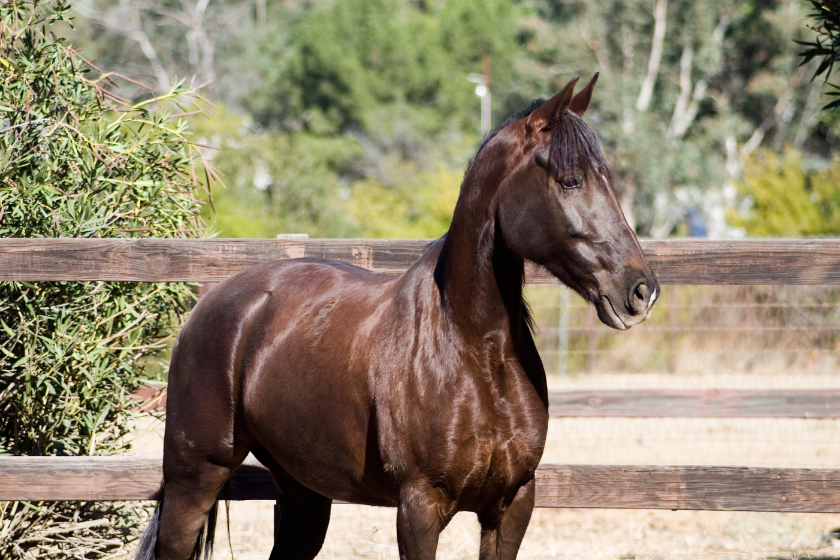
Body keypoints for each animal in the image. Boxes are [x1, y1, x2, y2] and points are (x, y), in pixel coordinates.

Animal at [135, 74, 660, 560]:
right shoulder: (419, 508)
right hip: (194, 478)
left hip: (303, 494)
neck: (473, 350)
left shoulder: (512, 505)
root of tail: (211, 305)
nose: (641, 290)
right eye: (570, 180)